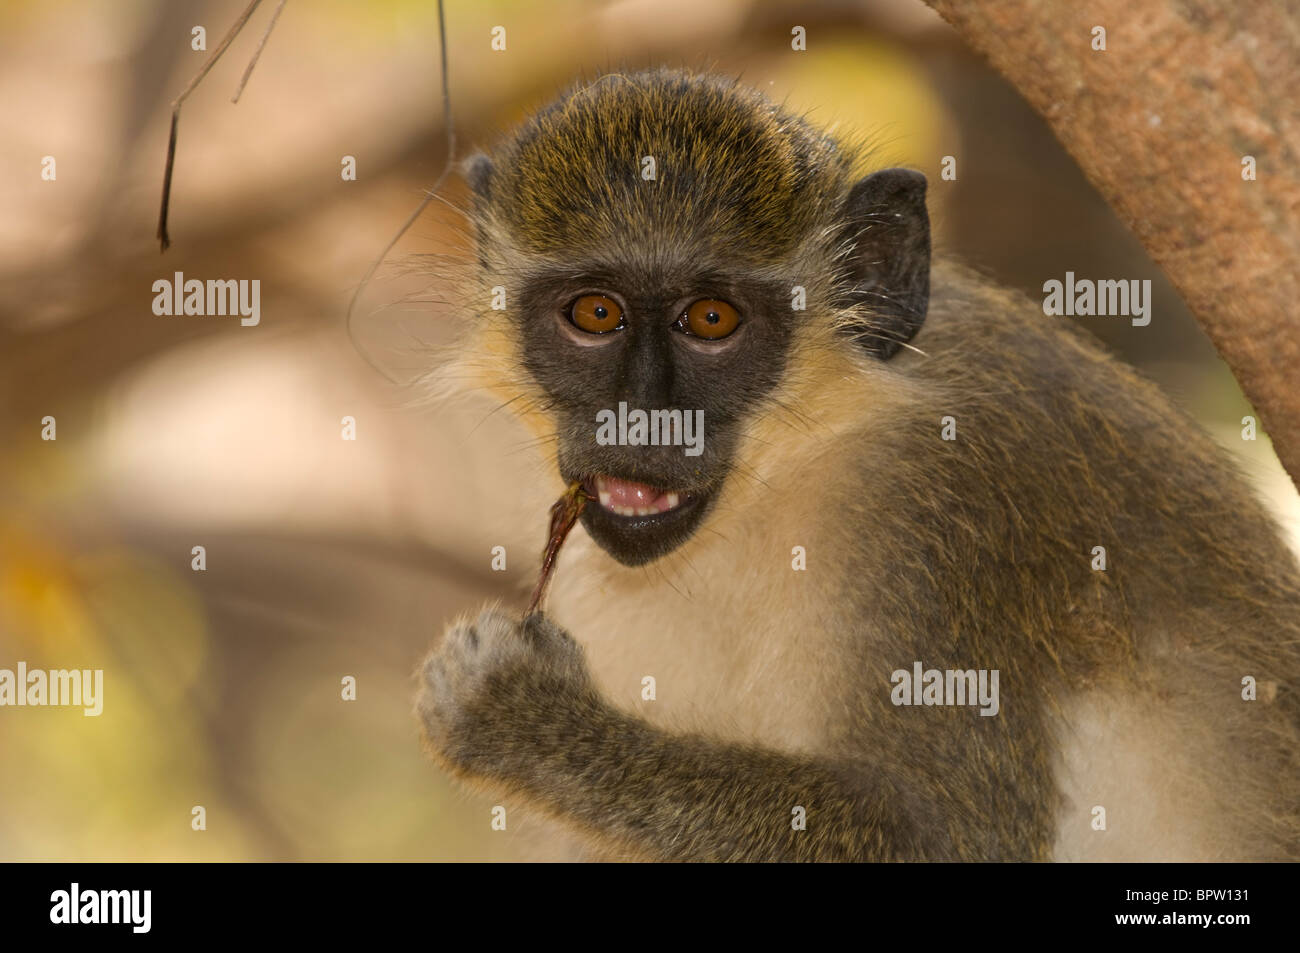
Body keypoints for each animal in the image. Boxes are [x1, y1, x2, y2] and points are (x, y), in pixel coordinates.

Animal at [413, 68, 1300, 863]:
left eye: (713, 319)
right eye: (596, 313)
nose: (641, 416)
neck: (784, 471)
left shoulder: (936, 513)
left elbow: (946, 836)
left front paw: (521, 716)